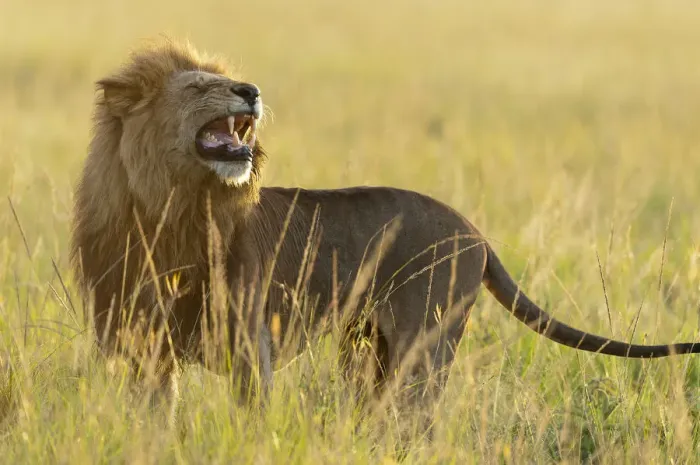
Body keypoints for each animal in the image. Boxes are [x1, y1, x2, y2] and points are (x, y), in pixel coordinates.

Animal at [70, 39, 700, 424]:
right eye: (201, 86)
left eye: (228, 80)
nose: (250, 90)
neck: (167, 209)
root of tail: (476, 231)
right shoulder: (137, 342)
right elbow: (151, 416)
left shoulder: (251, 343)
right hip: (366, 348)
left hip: (426, 343)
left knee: (418, 417)